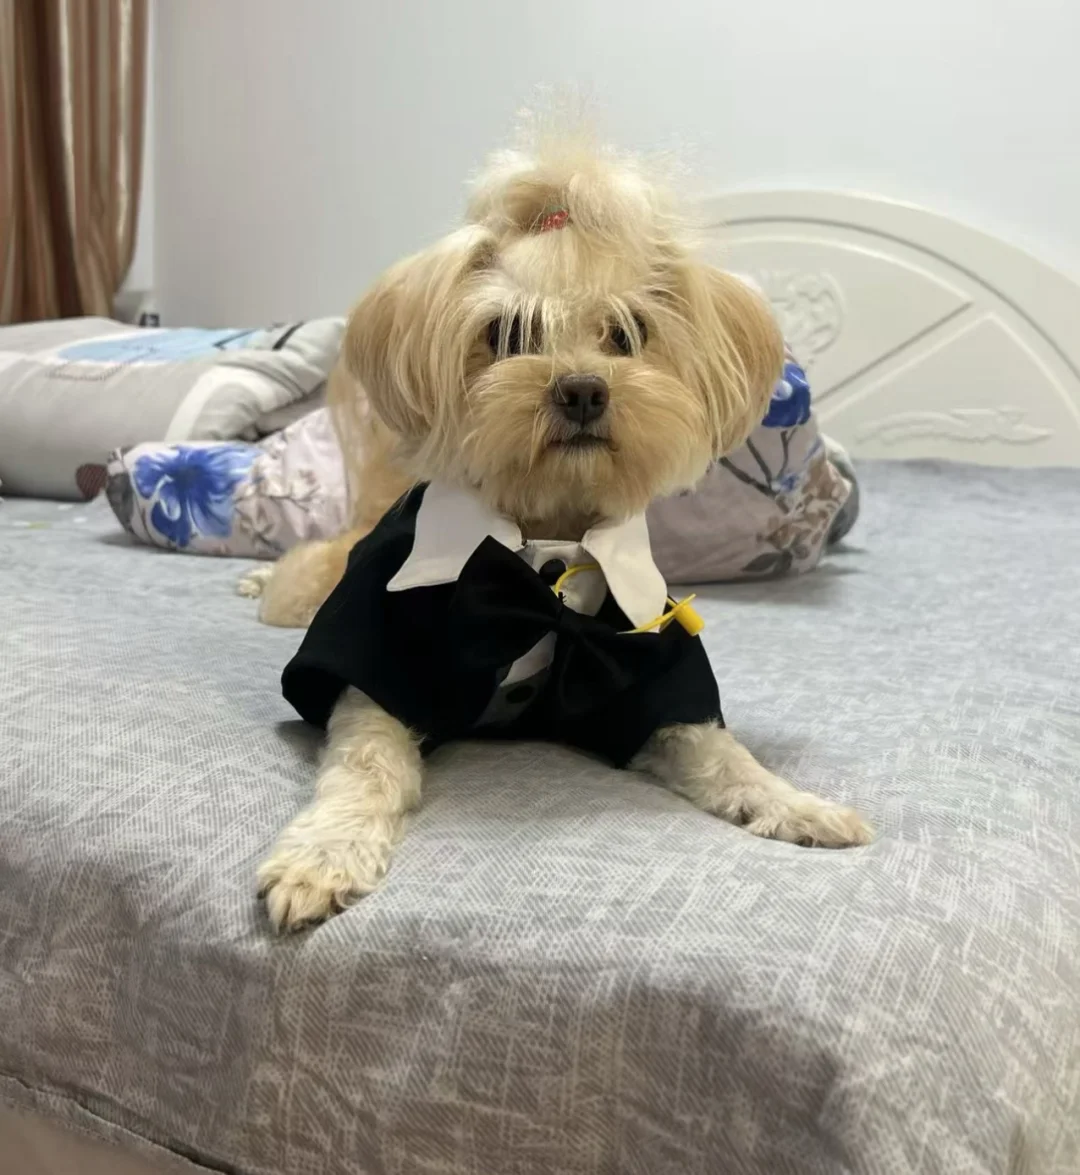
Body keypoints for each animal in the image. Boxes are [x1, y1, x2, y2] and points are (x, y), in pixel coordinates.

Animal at [254, 129, 872, 933]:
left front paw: (797, 805)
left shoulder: (652, 677)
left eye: (627, 333)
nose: (582, 390)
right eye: (506, 333)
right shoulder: (376, 664)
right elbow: (365, 768)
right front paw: (324, 852)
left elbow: (724, 756)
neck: (543, 531)